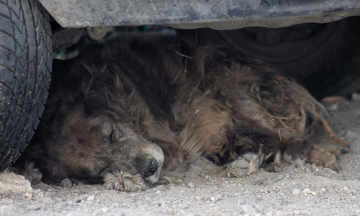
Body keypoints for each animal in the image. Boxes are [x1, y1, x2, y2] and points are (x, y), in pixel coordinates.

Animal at [21, 41, 348, 192]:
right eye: (97, 169)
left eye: (112, 133)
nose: (150, 167)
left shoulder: (172, 145)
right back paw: (245, 160)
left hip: (230, 88)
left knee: (294, 138)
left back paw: (282, 156)